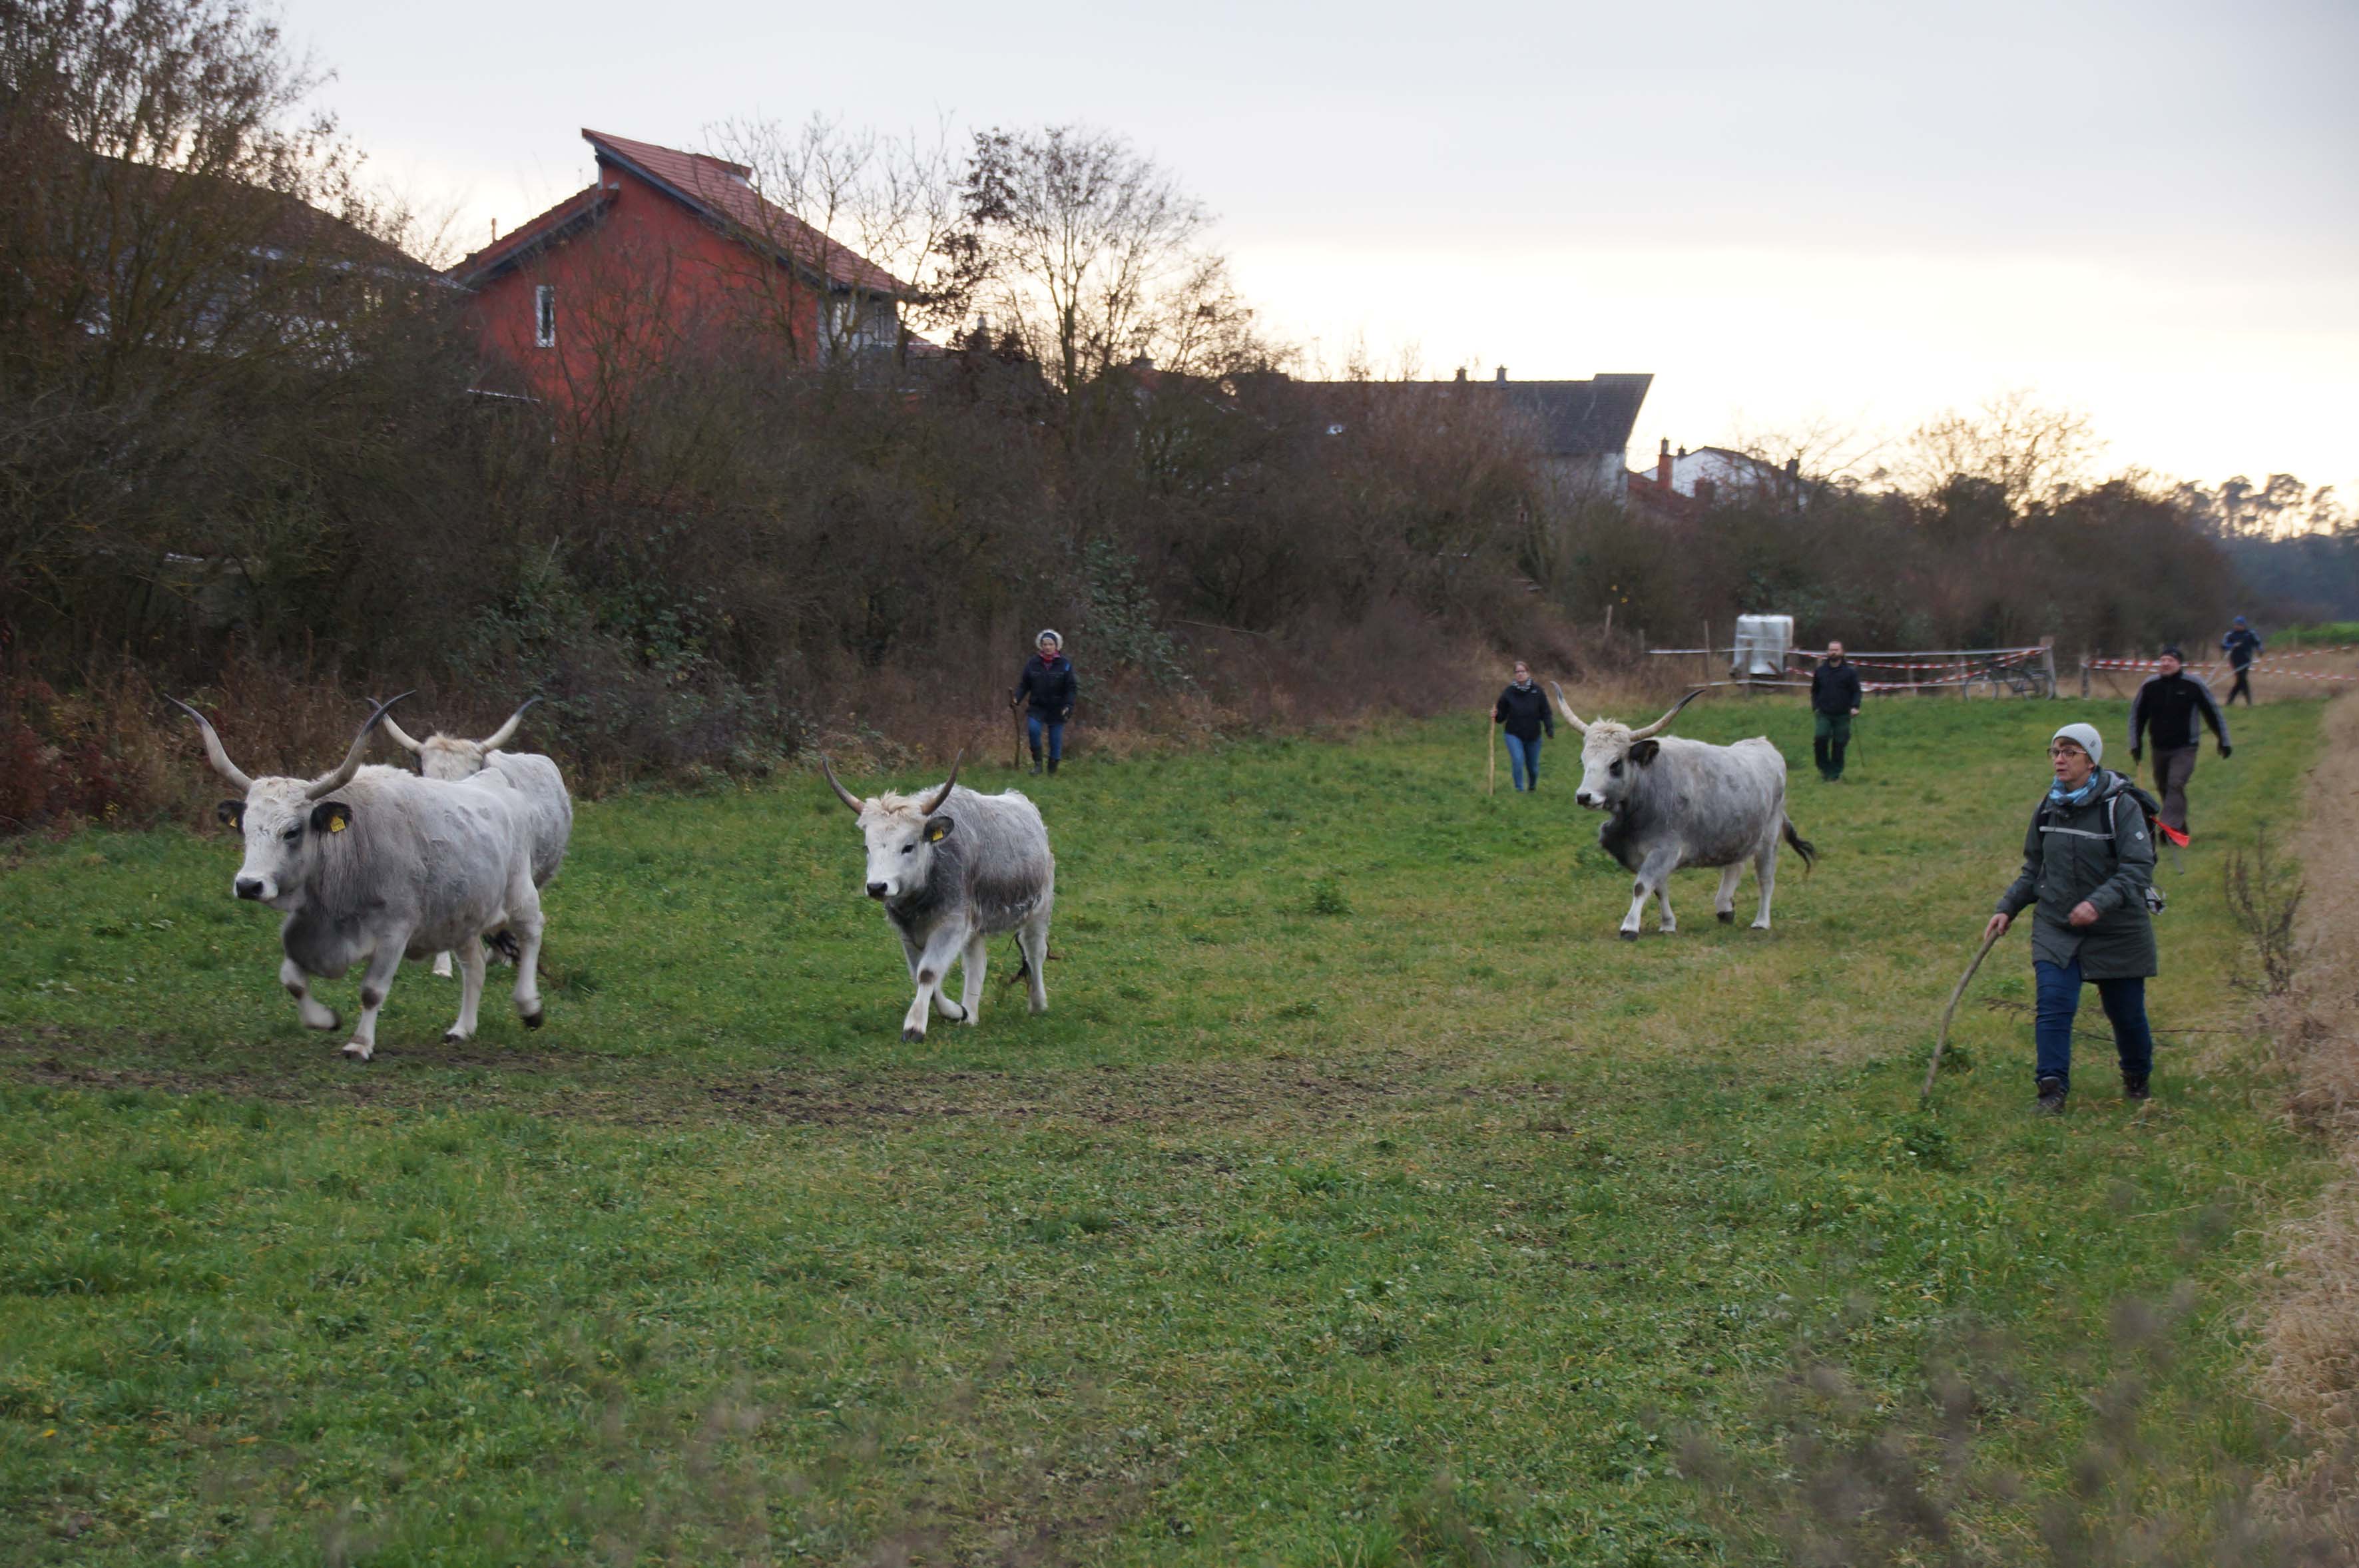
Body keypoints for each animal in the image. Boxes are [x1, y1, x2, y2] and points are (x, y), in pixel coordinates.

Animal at [172, 698, 547, 1065]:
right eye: (245, 829)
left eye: (292, 831)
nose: (249, 885)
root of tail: (495, 782)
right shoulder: (303, 932)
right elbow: (292, 981)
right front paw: (325, 1020)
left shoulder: (395, 932)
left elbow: (372, 991)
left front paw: (359, 1044)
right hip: (461, 916)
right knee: (474, 965)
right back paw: (462, 1029)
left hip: (520, 895)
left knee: (531, 934)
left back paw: (530, 1007)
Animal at [826, 750, 1057, 1037]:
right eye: (867, 847)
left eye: (908, 846)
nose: (877, 887)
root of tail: (1021, 802)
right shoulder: (909, 932)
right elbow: (920, 975)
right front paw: (957, 1011)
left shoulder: (952, 923)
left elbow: (928, 972)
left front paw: (914, 1026)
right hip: (975, 924)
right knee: (976, 962)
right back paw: (971, 1015)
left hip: (1039, 908)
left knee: (1034, 950)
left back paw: (1038, 1004)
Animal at [1557, 683, 1812, 929]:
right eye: (1584, 760)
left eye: (1615, 764)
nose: (1584, 796)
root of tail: (1763, 744)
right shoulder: (1645, 853)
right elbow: (1659, 888)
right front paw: (1668, 924)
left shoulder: (1665, 849)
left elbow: (1642, 886)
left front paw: (1630, 926)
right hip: (1739, 834)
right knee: (1735, 866)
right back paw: (1724, 907)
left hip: (1769, 838)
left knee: (1766, 879)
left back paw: (1761, 921)